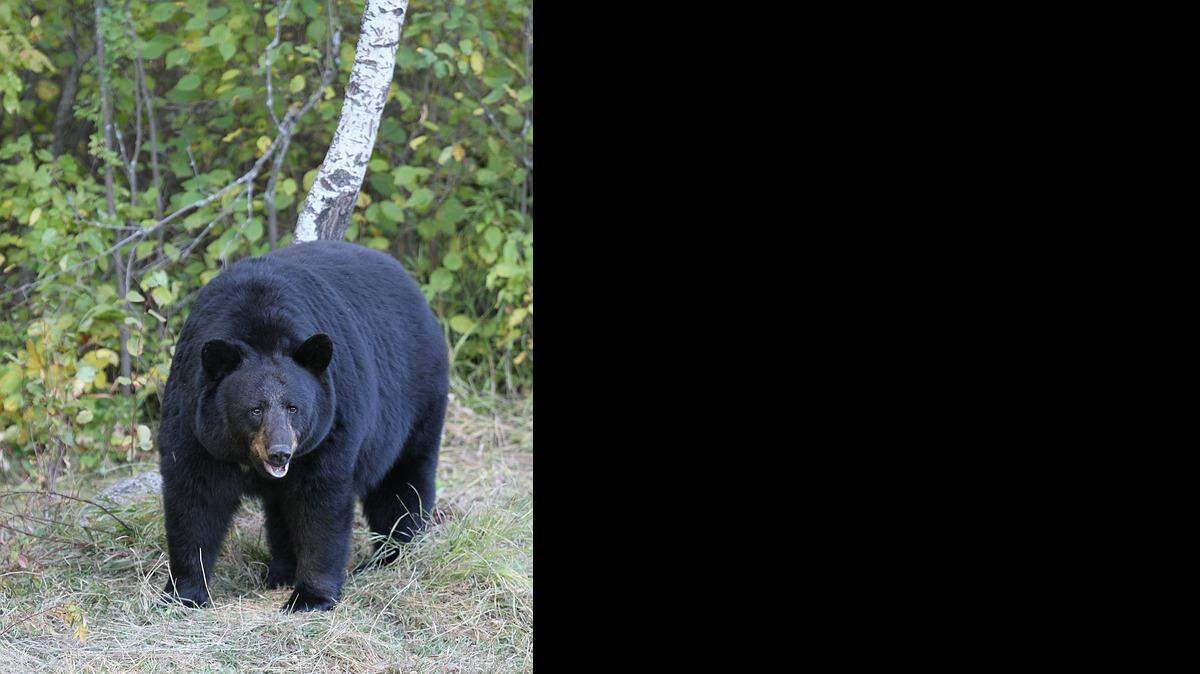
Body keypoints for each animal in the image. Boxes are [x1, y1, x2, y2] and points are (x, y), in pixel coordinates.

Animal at [157, 240, 449, 612]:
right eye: (255, 409)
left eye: (294, 408)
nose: (280, 453)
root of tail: (412, 284)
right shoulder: (194, 421)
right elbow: (194, 498)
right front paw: (184, 592)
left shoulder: (331, 424)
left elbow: (320, 503)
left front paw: (310, 597)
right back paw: (281, 571)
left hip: (417, 401)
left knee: (402, 482)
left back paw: (393, 555)